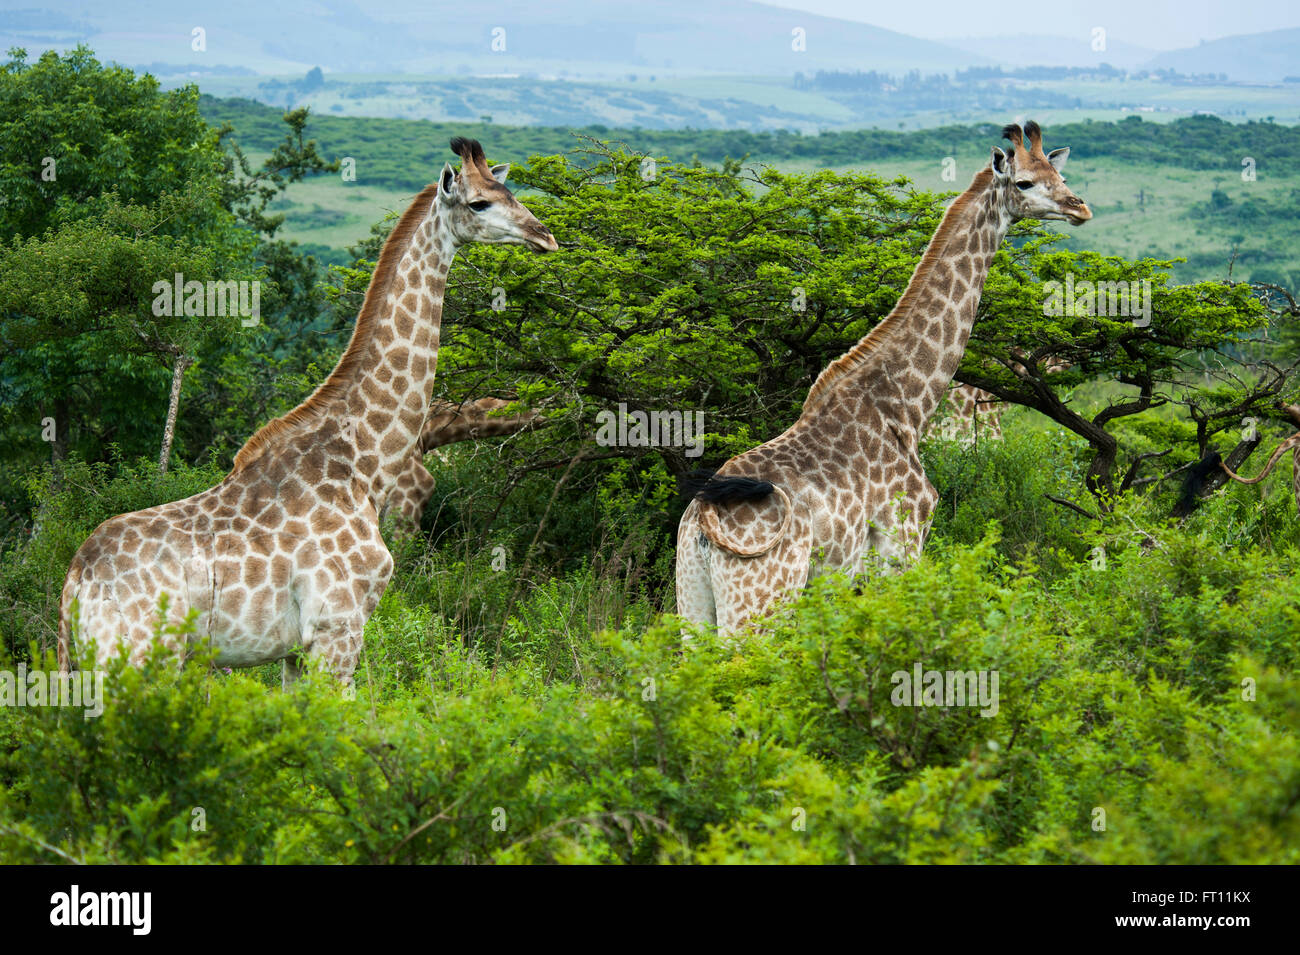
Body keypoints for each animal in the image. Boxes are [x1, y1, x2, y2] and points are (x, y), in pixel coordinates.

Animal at [676, 123, 1092, 639]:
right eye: (1025, 183)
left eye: (1060, 175)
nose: (1080, 207)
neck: (907, 405)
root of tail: (701, 521)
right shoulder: (903, 544)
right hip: (762, 602)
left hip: (693, 601)